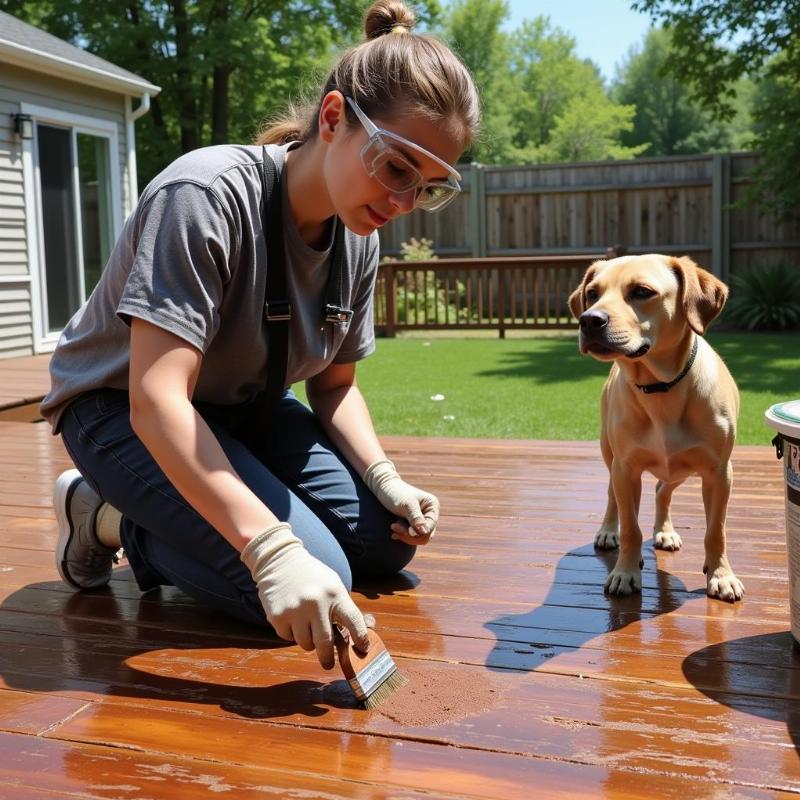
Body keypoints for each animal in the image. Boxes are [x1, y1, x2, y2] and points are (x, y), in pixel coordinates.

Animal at [568, 255, 744, 600]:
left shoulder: (719, 472)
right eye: (592, 293)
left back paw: (665, 531)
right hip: (610, 454)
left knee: (663, 490)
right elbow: (631, 527)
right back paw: (609, 530)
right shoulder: (626, 469)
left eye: (642, 291)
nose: (589, 320)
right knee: (613, 496)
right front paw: (625, 571)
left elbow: (716, 531)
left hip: (682, 467)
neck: (661, 388)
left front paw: (721, 574)